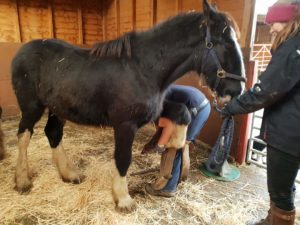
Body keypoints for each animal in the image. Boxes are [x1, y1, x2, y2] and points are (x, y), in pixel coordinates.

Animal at [11, 0, 246, 211]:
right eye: (225, 43)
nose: (237, 90)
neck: (144, 68)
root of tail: (21, 52)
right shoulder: (125, 124)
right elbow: (123, 159)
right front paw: (123, 199)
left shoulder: (154, 110)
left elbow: (183, 113)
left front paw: (171, 147)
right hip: (32, 107)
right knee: (24, 135)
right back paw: (22, 180)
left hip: (58, 109)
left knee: (53, 133)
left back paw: (69, 174)